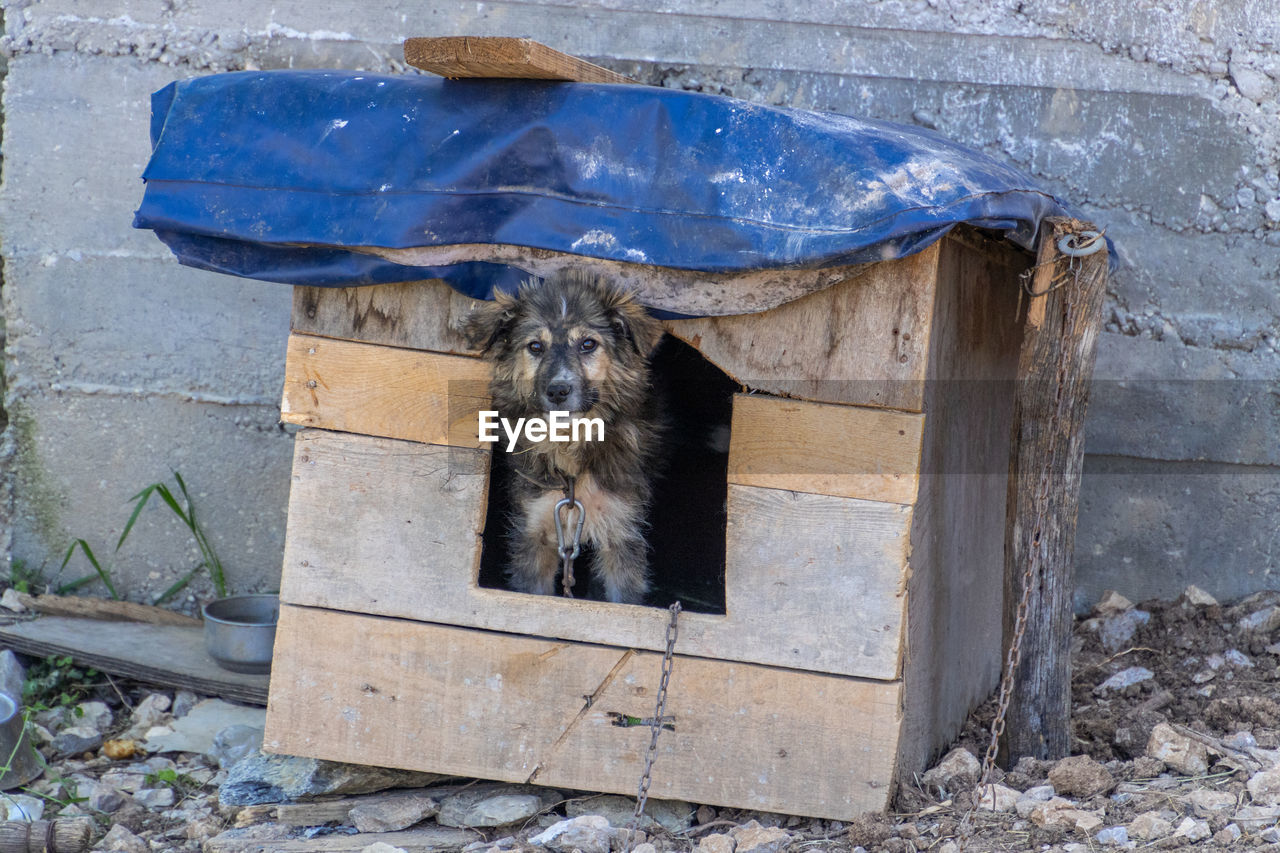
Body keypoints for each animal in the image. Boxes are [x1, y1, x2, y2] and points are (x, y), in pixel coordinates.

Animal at [460, 268, 665, 601]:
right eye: (535, 347)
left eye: (588, 344)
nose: (558, 390)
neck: (569, 440)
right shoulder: (535, 530)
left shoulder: (622, 531)